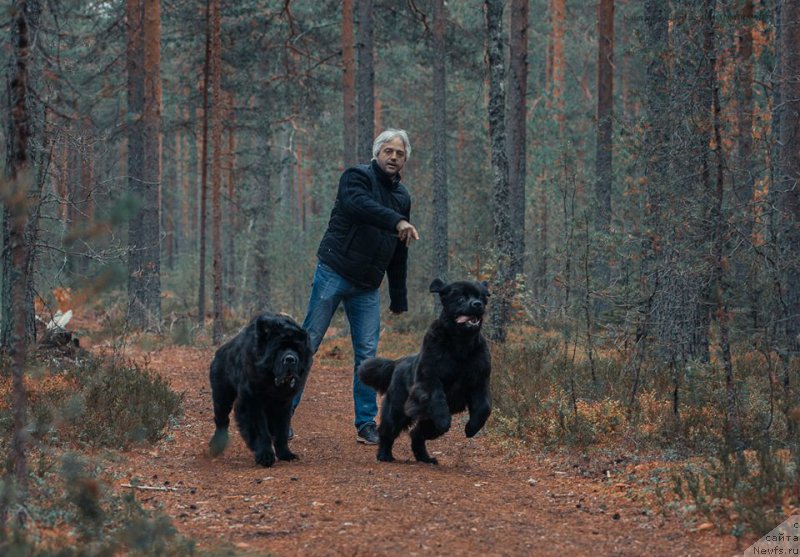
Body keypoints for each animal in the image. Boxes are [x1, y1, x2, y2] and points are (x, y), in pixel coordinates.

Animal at [208, 312, 310, 464]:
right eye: (279, 349)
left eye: (297, 349)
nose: (290, 359)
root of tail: (219, 351)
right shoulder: (252, 401)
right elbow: (261, 431)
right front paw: (265, 456)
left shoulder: (283, 403)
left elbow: (281, 430)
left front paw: (286, 454)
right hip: (222, 394)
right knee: (222, 419)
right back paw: (217, 444)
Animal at [360, 278, 490, 464]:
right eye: (461, 298)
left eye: (481, 297)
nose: (477, 304)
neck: (460, 345)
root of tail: (398, 362)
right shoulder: (429, 378)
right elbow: (437, 398)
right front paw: (444, 420)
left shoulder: (478, 381)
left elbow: (484, 408)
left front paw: (471, 428)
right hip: (398, 409)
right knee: (388, 431)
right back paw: (384, 455)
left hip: (425, 421)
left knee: (417, 434)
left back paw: (425, 458)